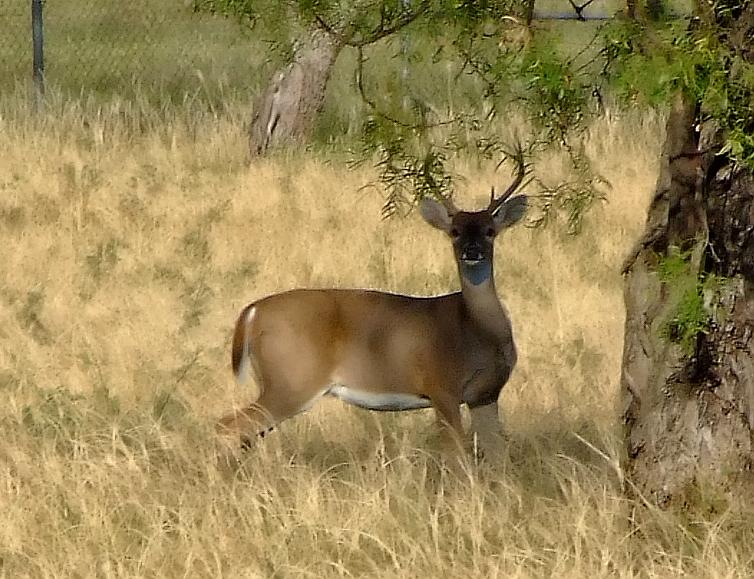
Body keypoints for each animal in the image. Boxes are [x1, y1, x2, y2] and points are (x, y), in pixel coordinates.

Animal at [218, 158, 529, 457]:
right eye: (454, 232)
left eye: (490, 231)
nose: (471, 251)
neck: (475, 330)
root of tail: (253, 312)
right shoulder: (441, 388)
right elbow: (456, 455)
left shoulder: (486, 395)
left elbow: (498, 454)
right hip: (291, 380)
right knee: (228, 426)